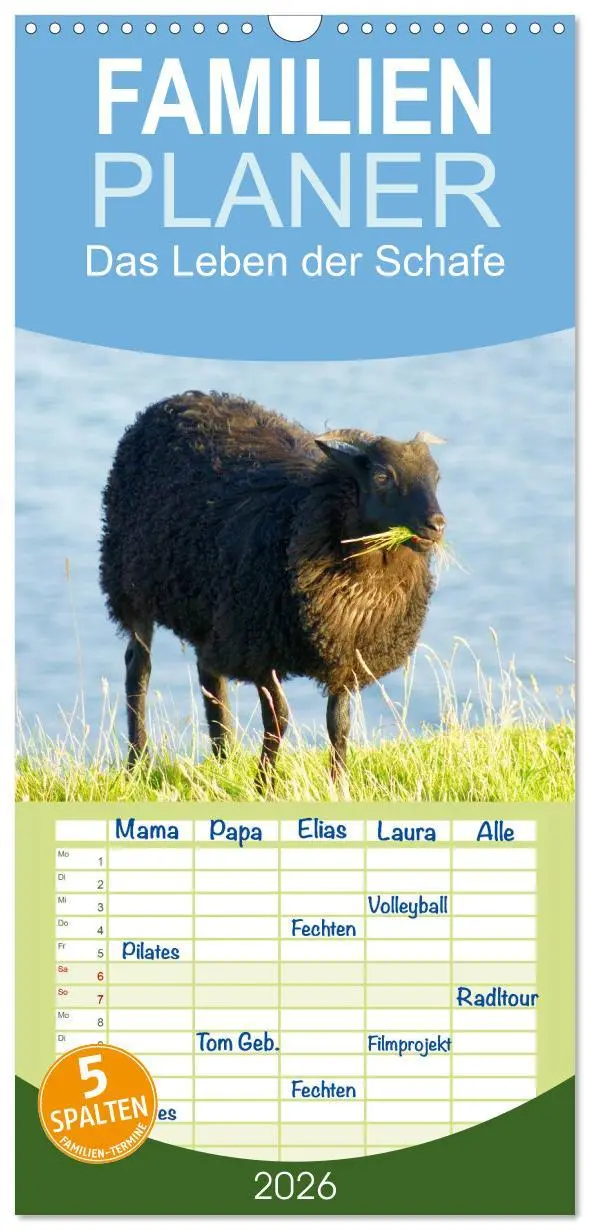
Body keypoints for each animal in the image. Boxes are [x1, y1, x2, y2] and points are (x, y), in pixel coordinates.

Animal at [99, 390, 445, 788]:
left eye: (436, 476)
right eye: (382, 476)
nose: (436, 525)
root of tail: (180, 398)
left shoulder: (345, 654)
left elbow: (339, 723)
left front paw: (337, 783)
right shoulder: (261, 648)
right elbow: (278, 718)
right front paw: (264, 783)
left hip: (213, 611)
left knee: (209, 674)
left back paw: (223, 757)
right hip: (132, 585)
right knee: (138, 668)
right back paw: (138, 760)